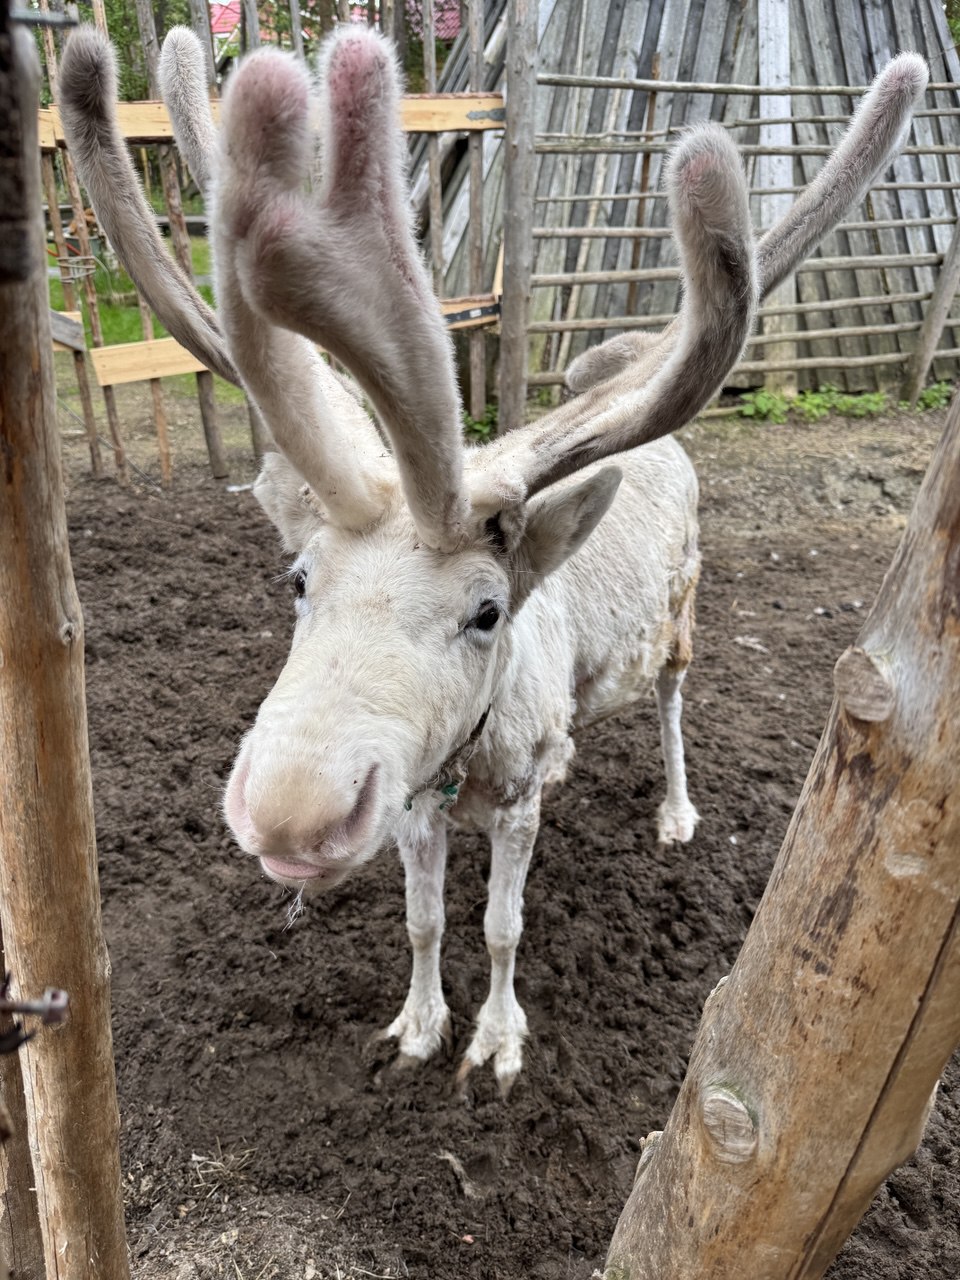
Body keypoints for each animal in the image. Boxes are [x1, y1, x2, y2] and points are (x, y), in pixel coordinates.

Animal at [59, 26, 926, 1092]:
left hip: (684, 607)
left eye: (486, 610)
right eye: (298, 579)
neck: (468, 765)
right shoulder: (412, 804)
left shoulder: (514, 804)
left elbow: (502, 928)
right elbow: (426, 924)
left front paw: (499, 1042)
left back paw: (677, 810)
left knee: (674, 700)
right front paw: (418, 1025)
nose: (292, 813)